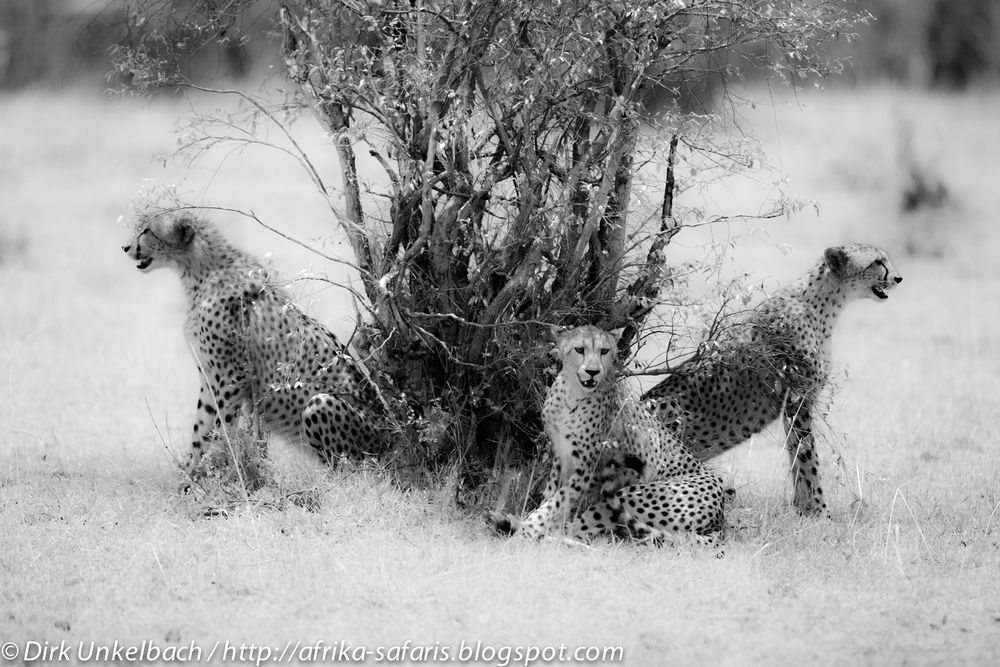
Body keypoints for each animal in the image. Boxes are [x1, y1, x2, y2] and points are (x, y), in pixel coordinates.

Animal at [122, 213, 386, 474]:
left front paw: (221, 471)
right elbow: (201, 430)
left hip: (322, 405)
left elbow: (223, 431)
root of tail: (390, 432)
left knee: (350, 473)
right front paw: (191, 476)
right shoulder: (210, 377)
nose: (125, 247)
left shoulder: (230, 378)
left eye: (147, 230)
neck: (201, 270)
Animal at [492, 324, 728, 548]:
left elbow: (557, 502)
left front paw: (529, 528)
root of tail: (721, 518)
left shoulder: (587, 468)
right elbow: (550, 495)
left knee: (578, 532)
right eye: (579, 349)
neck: (571, 393)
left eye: (604, 351)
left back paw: (513, 526)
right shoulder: (560, 455)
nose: (593, 371)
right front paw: (532, 522)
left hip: (631, 494)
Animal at [644, 243, 904, 516]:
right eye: (877, 262)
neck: (824, 301)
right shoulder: (797, 399)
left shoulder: (797, 403)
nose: (898, 278)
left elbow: (796, 454)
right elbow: (808, 456)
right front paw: (821, 511)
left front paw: (801, 508)